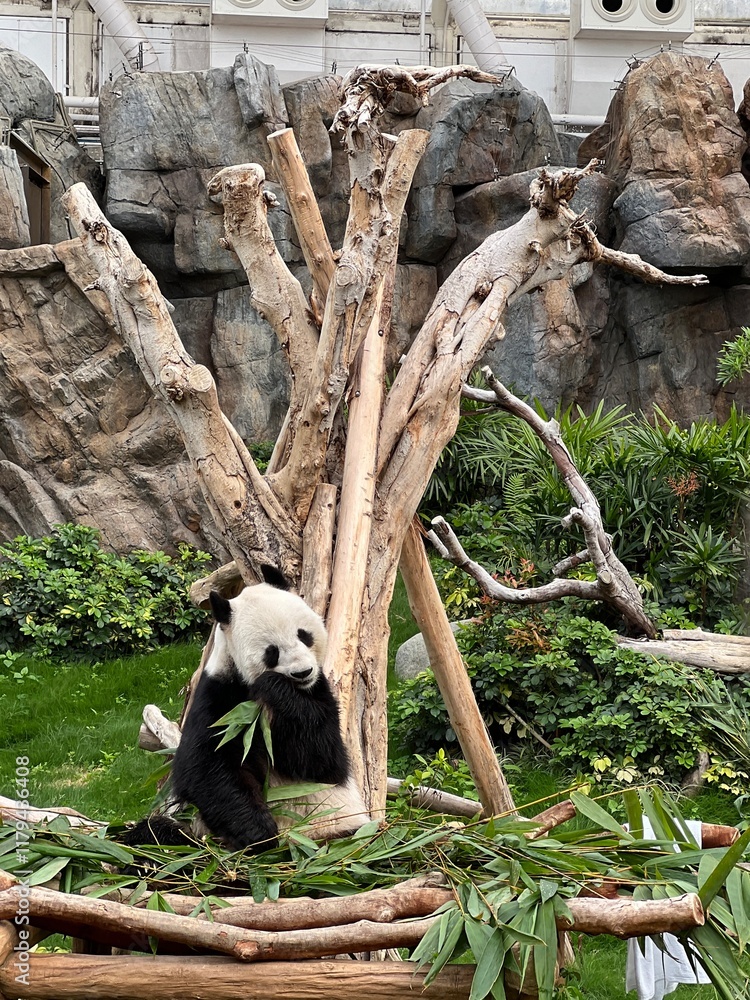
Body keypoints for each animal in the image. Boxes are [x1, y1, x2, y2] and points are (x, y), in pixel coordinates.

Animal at [124, 567, 370, 853]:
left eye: (303, 635)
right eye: (271, 652)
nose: (303, 672)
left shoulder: (318, 692)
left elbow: (323, 759)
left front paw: (275, 687)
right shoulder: (219, 696)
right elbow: (206, 765)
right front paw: (259, 833)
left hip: (345, 828)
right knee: (156, 834)